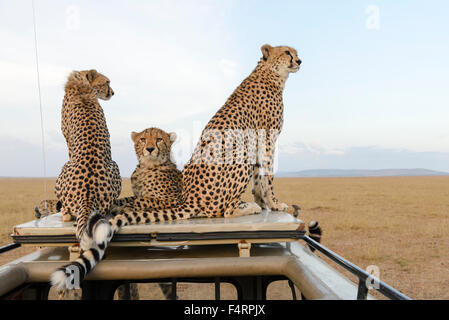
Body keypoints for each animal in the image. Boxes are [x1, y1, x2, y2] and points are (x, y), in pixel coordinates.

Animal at [49, 69, 121, 292]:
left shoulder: (67, 142)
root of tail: (87, 195)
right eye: (107, 82)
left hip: (65, 169)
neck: (82, 85)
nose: (113, 92)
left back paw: (64, 213)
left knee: (66, 212)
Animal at [102, 44, 302, 230]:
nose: (300, 61)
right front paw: (274, 204)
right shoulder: (267, 138)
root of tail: (190, 199)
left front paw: (264, 202)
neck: (270, 73)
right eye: (287, 52)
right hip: (241, 154)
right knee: (225, 211)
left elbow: (259, 176)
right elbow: (267, 176)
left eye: (295, 53)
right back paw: (249, 208)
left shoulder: (258, 140)